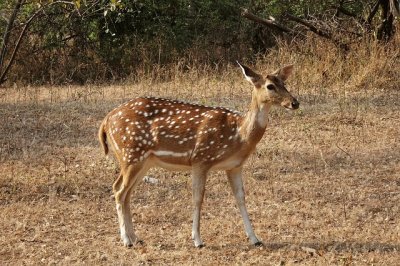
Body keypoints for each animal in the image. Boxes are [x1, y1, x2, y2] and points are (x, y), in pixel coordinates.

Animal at [98, 61, 298, 247]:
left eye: (284, 83)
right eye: (270, 86)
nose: (295, 102)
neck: (238, 134)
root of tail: (106, 120)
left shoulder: (234, 166)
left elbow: (241, 198)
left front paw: (255, 239)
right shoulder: (201, 159)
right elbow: (198, 198)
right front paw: (197, 240)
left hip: (143, 161)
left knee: (126, 192)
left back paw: (135, 237)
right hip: (131, 154)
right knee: (119, 190)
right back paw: (126, 240)